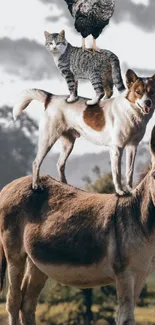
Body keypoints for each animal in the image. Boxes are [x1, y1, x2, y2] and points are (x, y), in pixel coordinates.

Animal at [12, 69, 155, 194]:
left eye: (152, 92)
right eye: (138, 92)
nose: (148, 102)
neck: (131, 111)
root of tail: (51, 98)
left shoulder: (132, 147)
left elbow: (129, 171)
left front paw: (131, 189)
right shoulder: (117, 148)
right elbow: (117, 173)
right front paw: (120, 191)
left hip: (68, 144)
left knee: (60, 164)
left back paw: (65, 186)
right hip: (48, 139)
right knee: (36, 162)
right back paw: (36, 185)